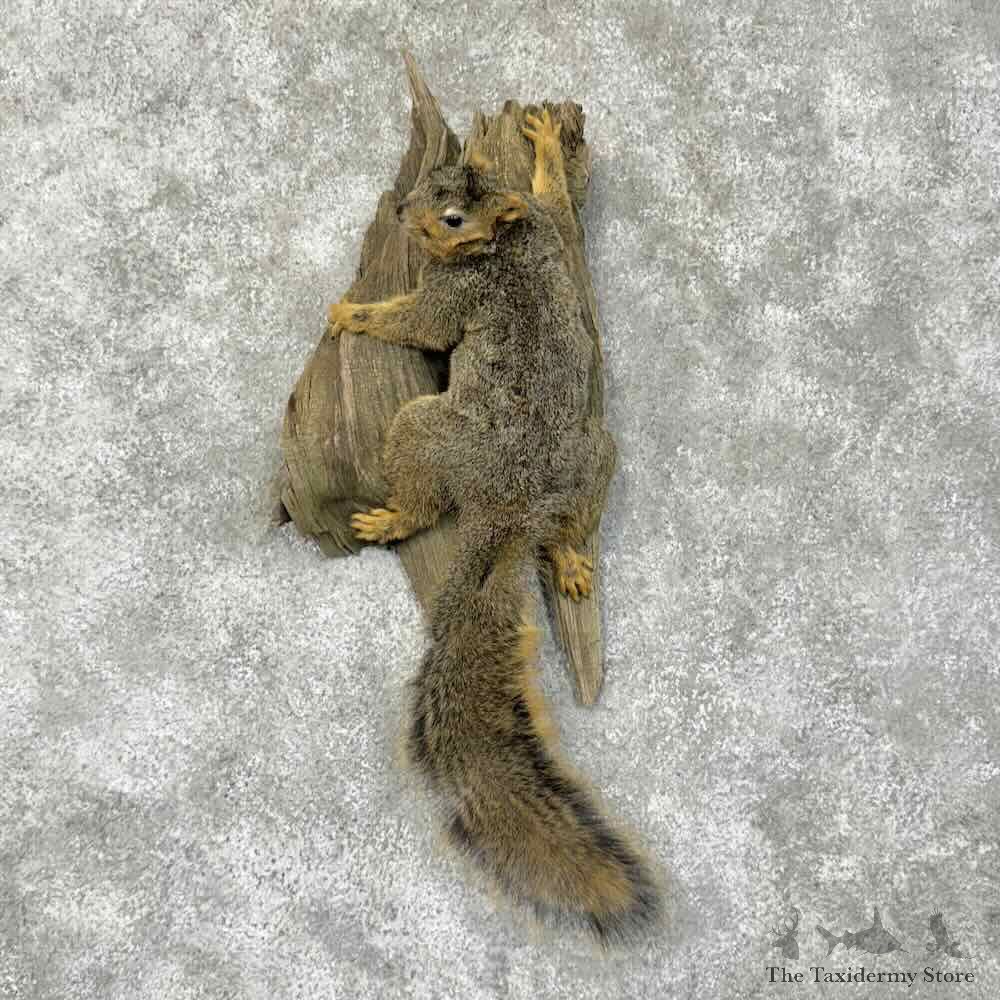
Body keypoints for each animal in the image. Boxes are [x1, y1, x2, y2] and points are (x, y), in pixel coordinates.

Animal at [327, 108, 661, 944]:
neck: (502, 241)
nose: (401, 214)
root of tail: (511, 509)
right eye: (436, 177)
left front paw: (353, 313)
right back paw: (569, 558)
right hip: (595, 456)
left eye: (451, 218)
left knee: (423, 497)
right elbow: (562, 199)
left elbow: (418, 324)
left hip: (421, 427)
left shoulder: (455, 293)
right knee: (575, 518)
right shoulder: (549, 222)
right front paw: (543, 145)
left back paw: (392, 516)